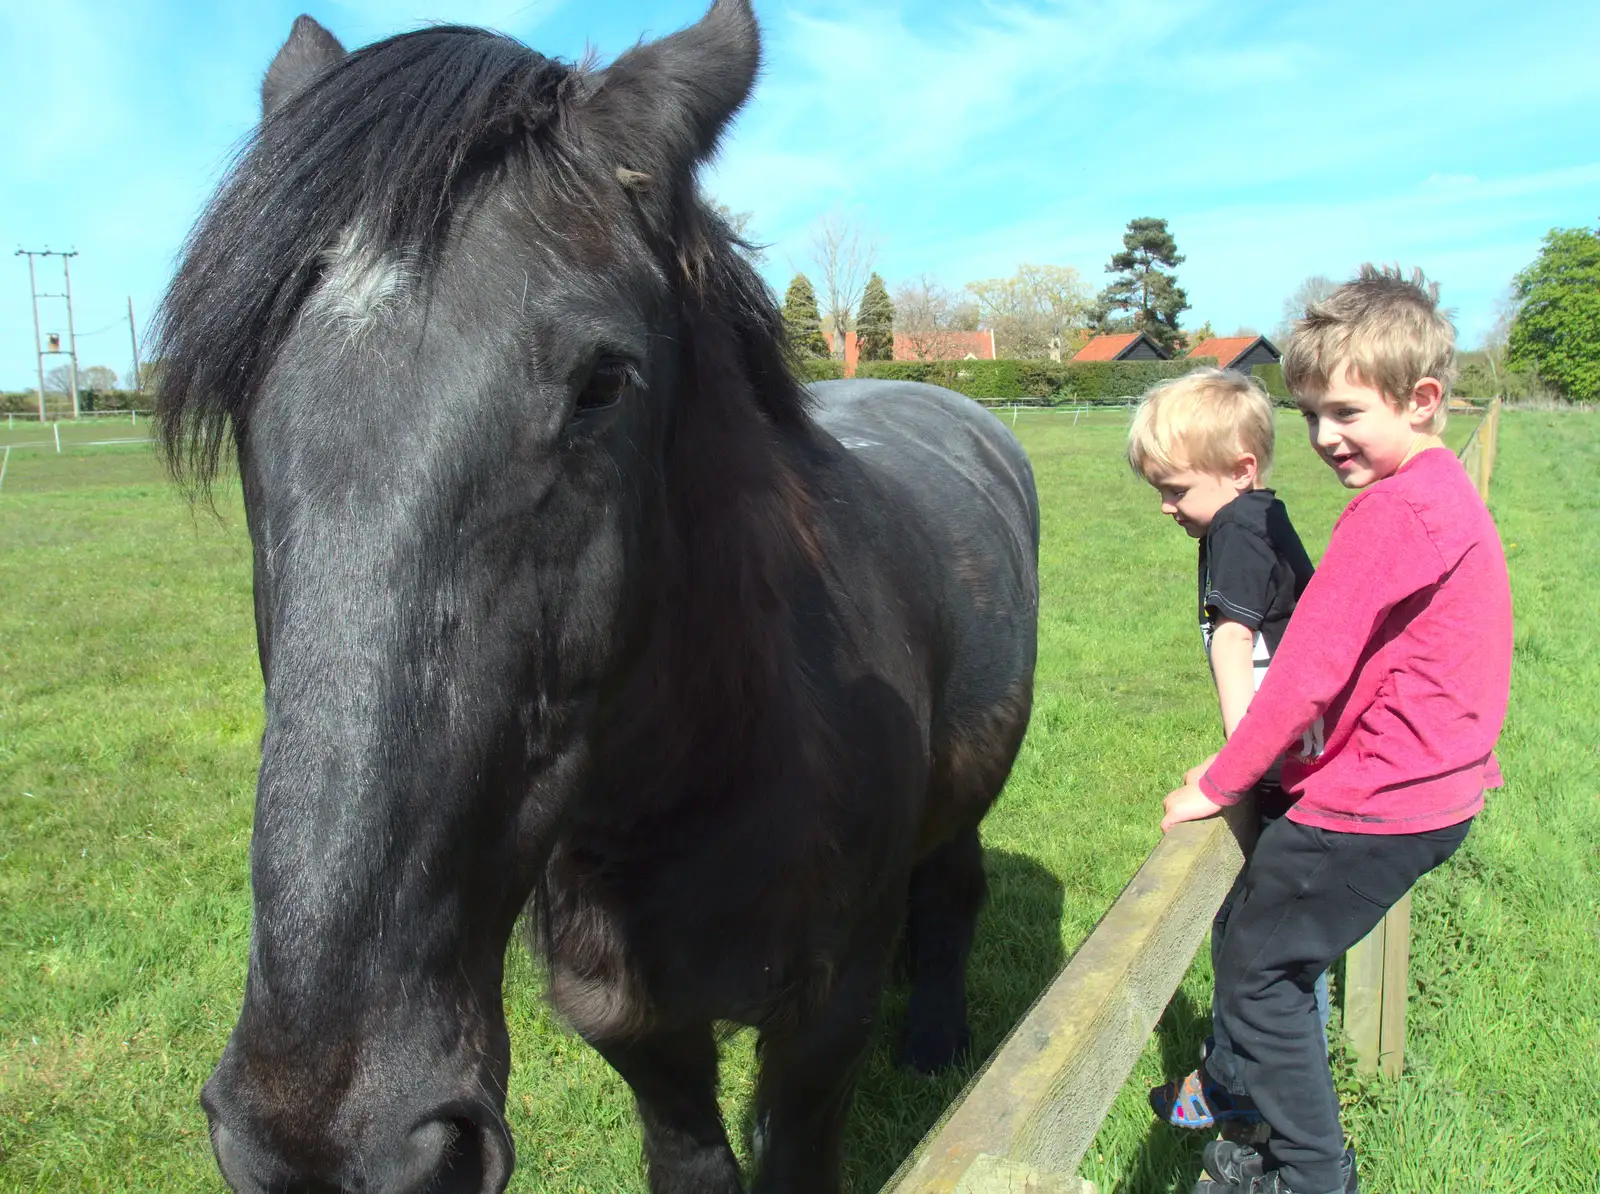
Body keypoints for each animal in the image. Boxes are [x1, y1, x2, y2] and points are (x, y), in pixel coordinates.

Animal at [159, 4, 1036, 1184]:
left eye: (604, 382)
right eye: (242, 389)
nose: (326, 1140)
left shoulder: (822, 1030)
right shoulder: (633, 1026)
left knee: (949, 892)